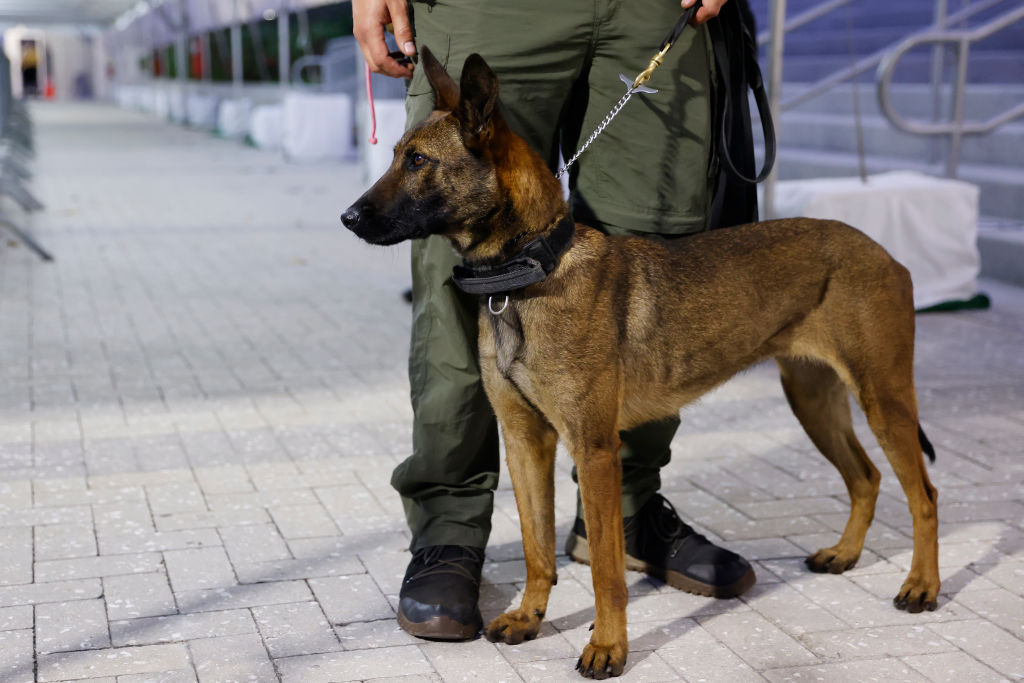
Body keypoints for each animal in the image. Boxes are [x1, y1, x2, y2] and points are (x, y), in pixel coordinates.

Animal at [339, 46, 937, 679]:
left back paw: (922, 586)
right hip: (815, 401)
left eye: (418, 161)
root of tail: (883, 251)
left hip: (883, 400)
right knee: (867, 477)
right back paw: (846, 554)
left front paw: (608, 647)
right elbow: (534, 549)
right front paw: (529, 617)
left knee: (923, 496)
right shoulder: (526, 442)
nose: (348, 217)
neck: (529, 273)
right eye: (396, 156)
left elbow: (606, 569)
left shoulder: (595, 449)